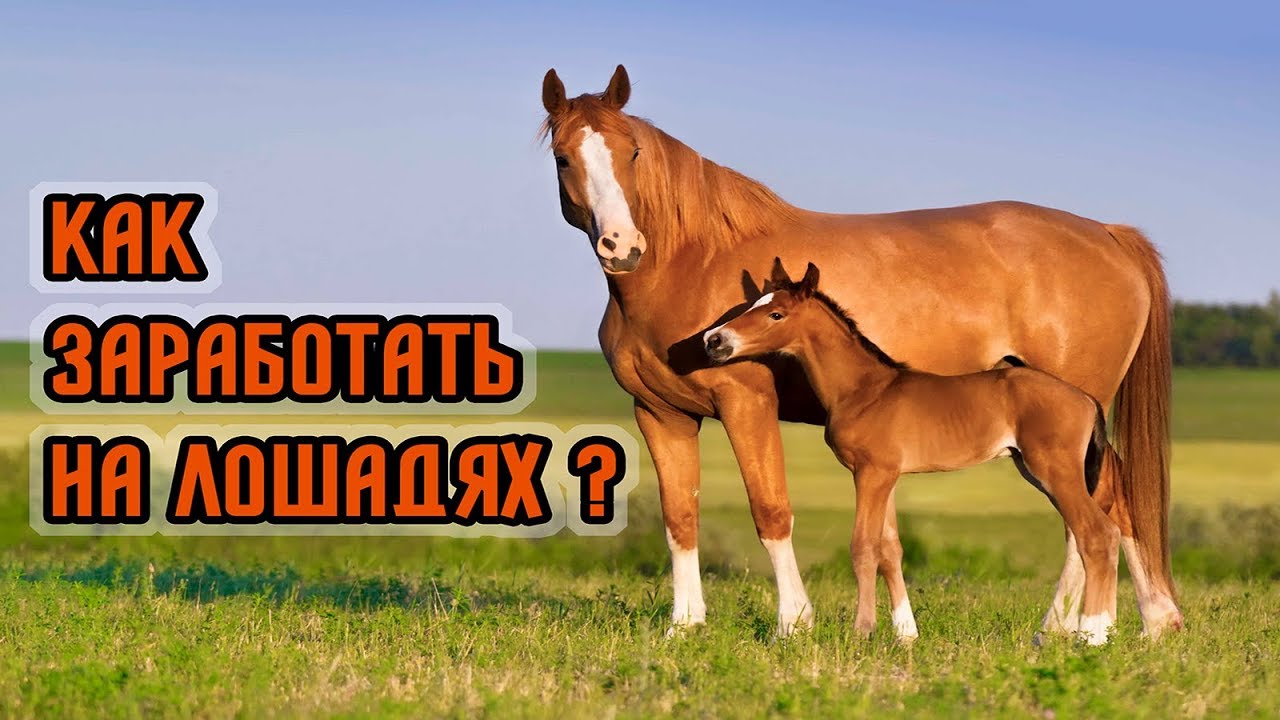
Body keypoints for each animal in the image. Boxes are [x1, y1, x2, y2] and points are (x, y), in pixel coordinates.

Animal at [704, 260, 1121, 643]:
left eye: (776, 314)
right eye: (754, 304)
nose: (714, 340)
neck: (864, 390)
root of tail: (1085, 399)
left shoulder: (871, 474)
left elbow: (863, 547)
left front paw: (862, 631)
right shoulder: (885, 476)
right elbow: (890, 548)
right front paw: (905, 634)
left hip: (1055, 470)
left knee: (1097, 534)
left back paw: (1093, 635)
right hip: (1036, 471)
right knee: (1101, 533)